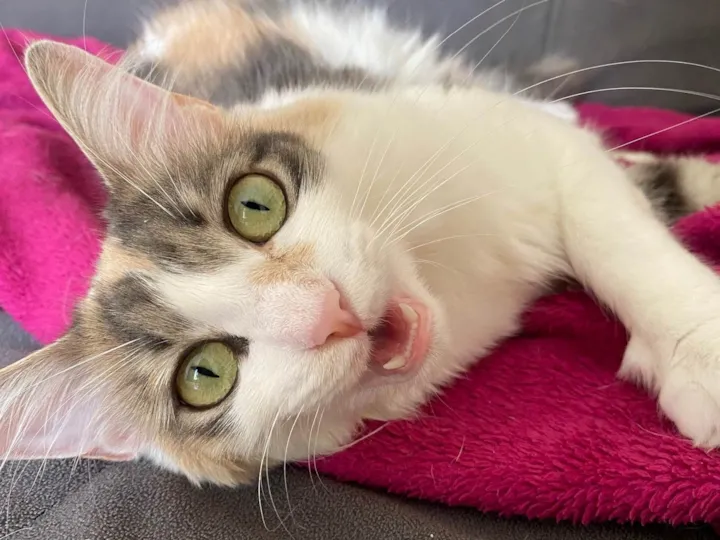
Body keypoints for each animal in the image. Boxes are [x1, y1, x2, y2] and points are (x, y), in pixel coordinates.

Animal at [5, 0, 720, 486]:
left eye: (254, 205)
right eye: (204, 376)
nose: (324, 310)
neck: (454, 285)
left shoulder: (499, 138)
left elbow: (618, 237)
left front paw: (700, 350)